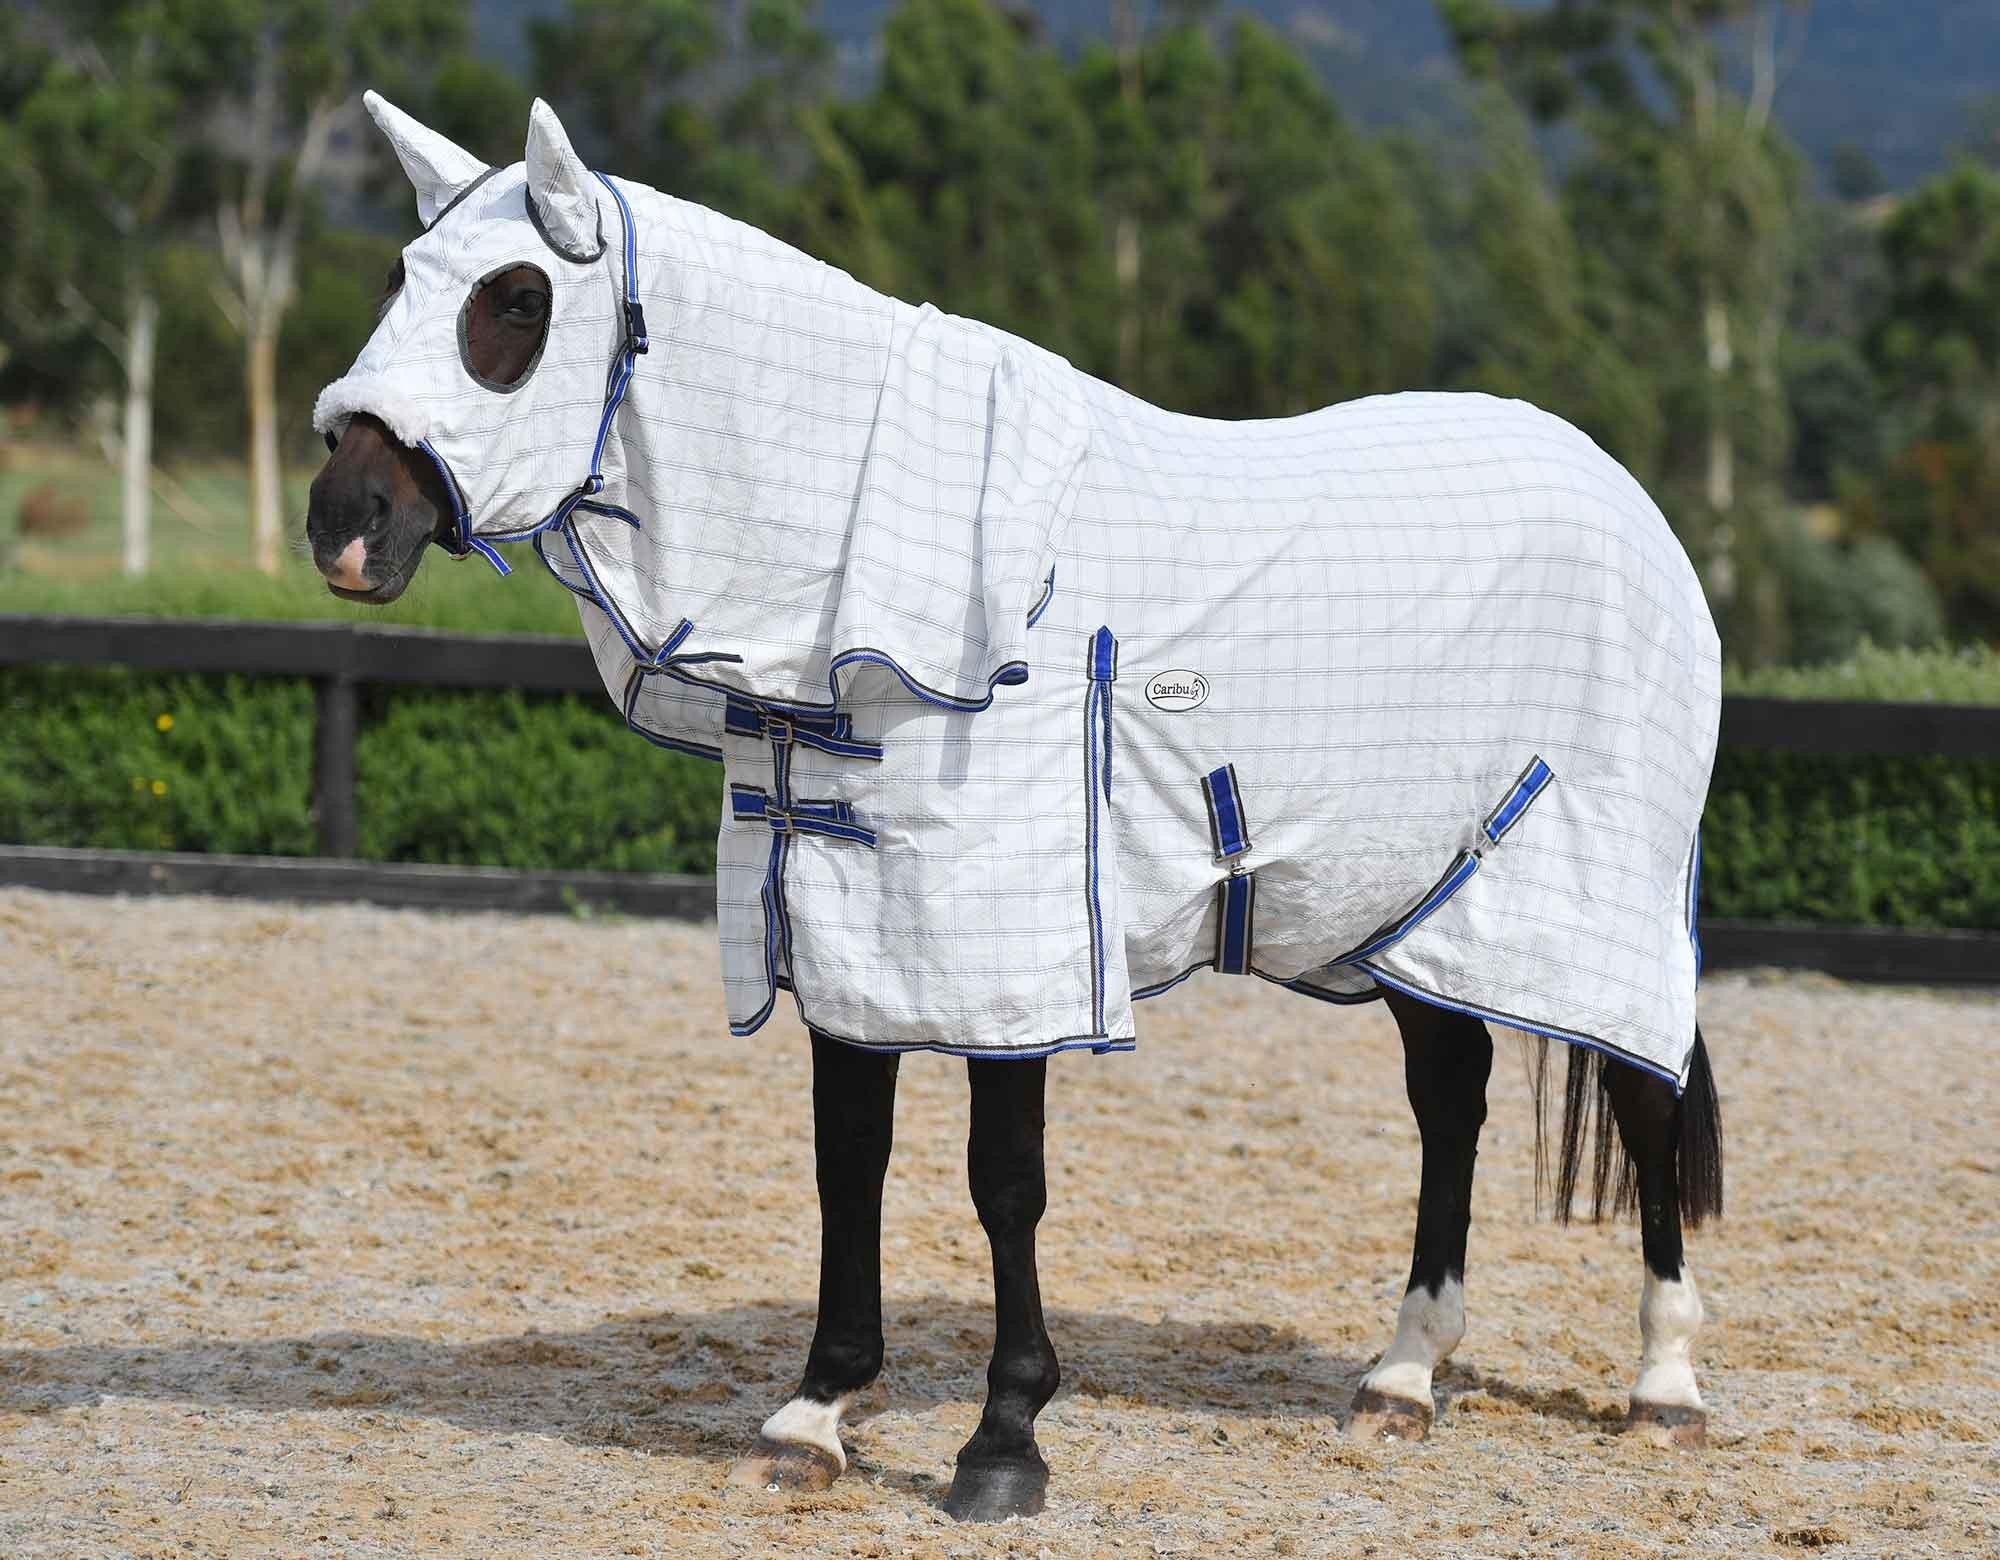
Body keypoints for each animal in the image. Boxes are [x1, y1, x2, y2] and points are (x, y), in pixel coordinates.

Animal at [304, 94, 1724, 1522]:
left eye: (516, 301)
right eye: (398, 279)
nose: (343, 521)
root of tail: (1628, 502)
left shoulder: (1006, 946)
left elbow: (1004, 1184)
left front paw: (1002, 1441)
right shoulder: (844, 917)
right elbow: (847, 1161)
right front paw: (813, 1414)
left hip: (1593, 903)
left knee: (1644, 1103)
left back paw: (1662, 1391)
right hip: (1414, 908)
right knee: (1453, 1098)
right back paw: (1400, 1378)